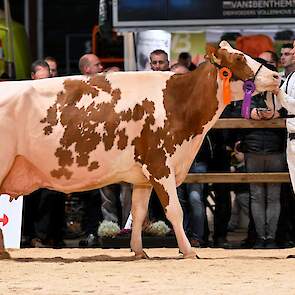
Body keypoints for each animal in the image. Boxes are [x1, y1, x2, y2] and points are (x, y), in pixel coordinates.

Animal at [0, 41, 280, 260]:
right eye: (239, 57)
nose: (277, 76)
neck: (178, 102)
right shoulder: (160, 165)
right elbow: (175, 211)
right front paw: (189, 251)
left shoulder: (143, 175)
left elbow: (138, 212)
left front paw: (138, 251)